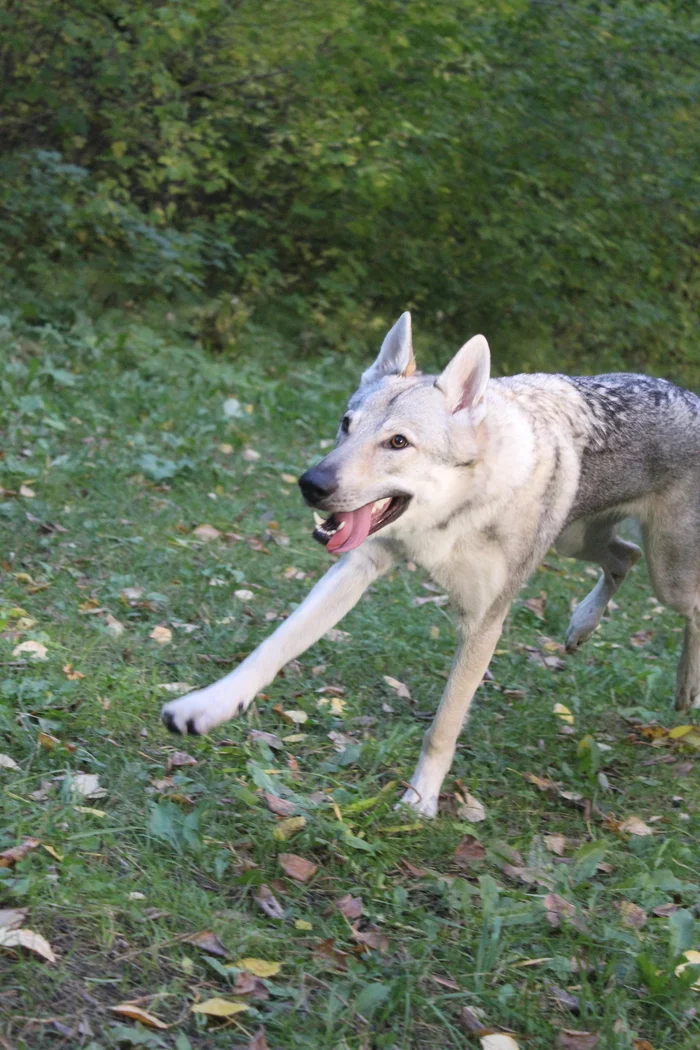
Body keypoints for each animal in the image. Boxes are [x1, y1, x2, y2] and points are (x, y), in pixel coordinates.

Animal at [162, 312, 700, 818]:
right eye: (346, 424)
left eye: (398, 442)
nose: (311, 484)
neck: (451, 518)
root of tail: (690, 394)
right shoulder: (355, 567)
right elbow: (272, 647)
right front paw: (207, 706)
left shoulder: (483, 625)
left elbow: (442, 728)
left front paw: (420, 801)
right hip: (576, 540)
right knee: (623, 557)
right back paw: (582, 625)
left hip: (665, 574)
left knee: (686, 605)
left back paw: (685, 685)